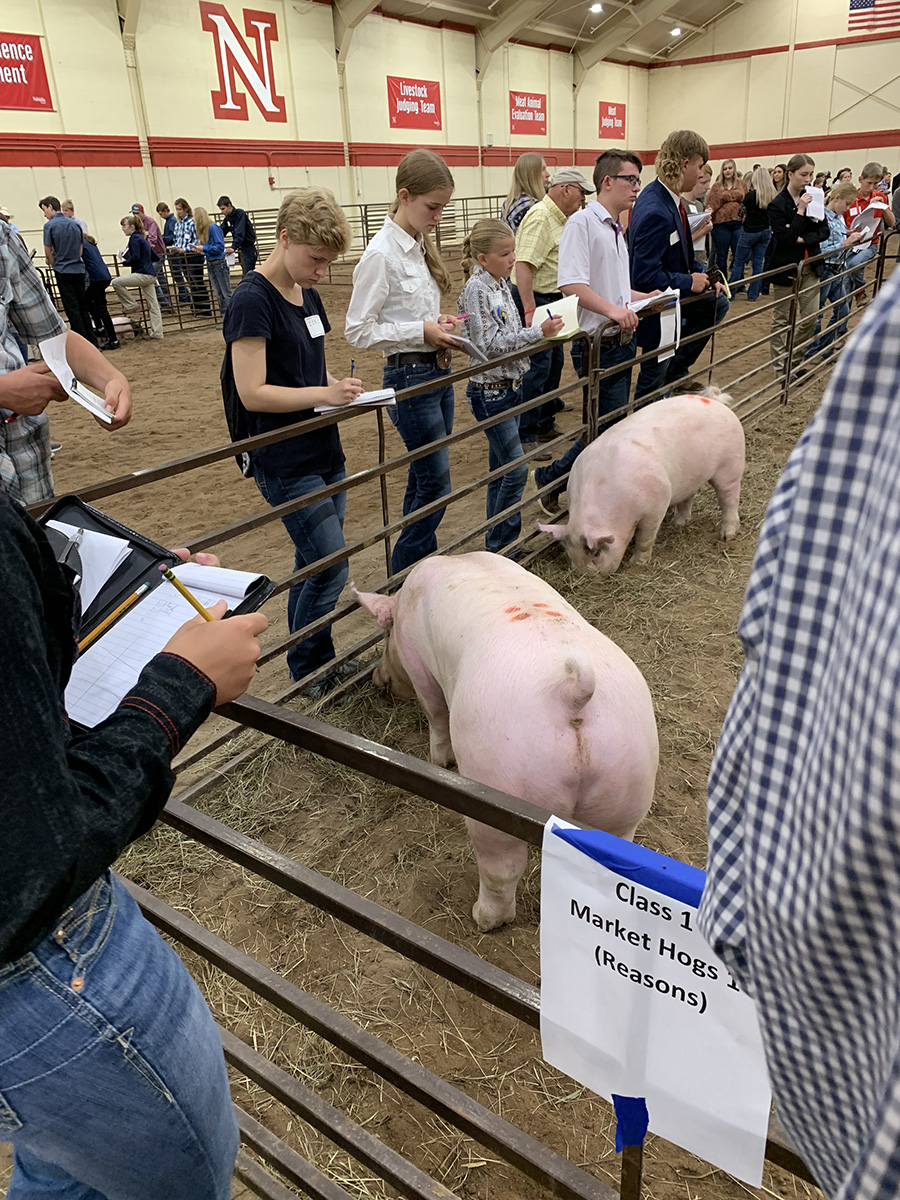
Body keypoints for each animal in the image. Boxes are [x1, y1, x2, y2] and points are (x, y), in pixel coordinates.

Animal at [355, 552, 657, 936]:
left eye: (385, 633)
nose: (377, 679)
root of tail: (571, 693)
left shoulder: (419, 665)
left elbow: (435, 713)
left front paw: (438, 761)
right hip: (628, 781)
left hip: (497, 779)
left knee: (500, 867)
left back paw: (482, 919)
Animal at [542, 388, 748, 571]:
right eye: (569, 554)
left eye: (596, 553)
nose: (587, 576)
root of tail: (715, 401)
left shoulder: (656, 505)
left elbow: (645, 537)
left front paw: (637, 563)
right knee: (688, 497)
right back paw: (679, 523)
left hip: (731, 464)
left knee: (729, 499)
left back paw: (727, 536)